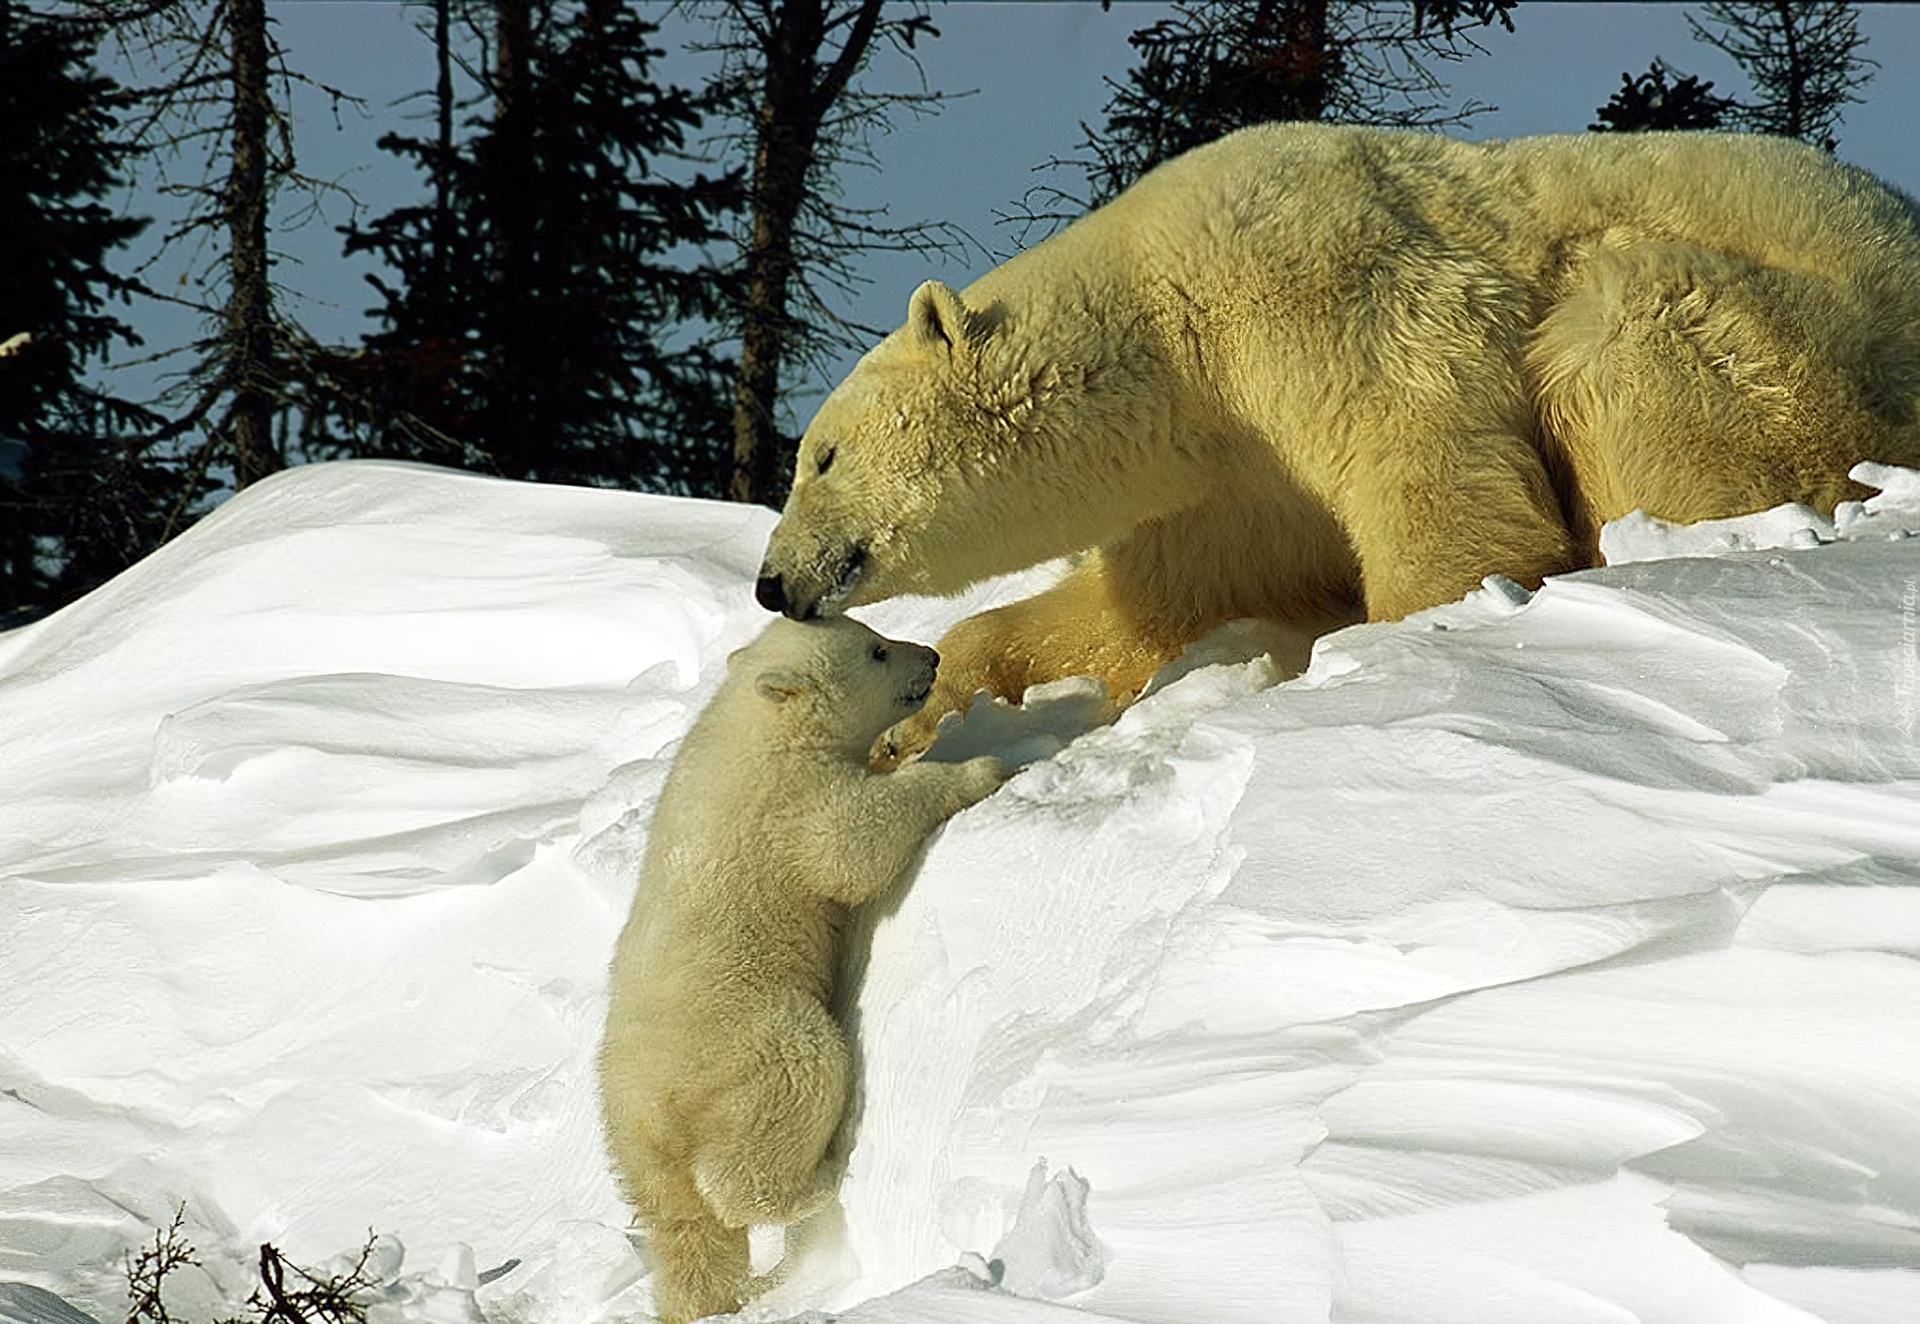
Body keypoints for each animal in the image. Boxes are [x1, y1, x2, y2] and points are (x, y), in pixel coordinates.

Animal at [756, 124, 1920, 752]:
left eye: (821, 455)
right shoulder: (1228, 481)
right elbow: (1154, 606)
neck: (1168, 320)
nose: (772, 583)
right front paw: (919, 717)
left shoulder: (1321, 295)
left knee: (1621, 322)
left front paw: (1400, 648)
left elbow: (1438, 470)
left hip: (1796, 347)